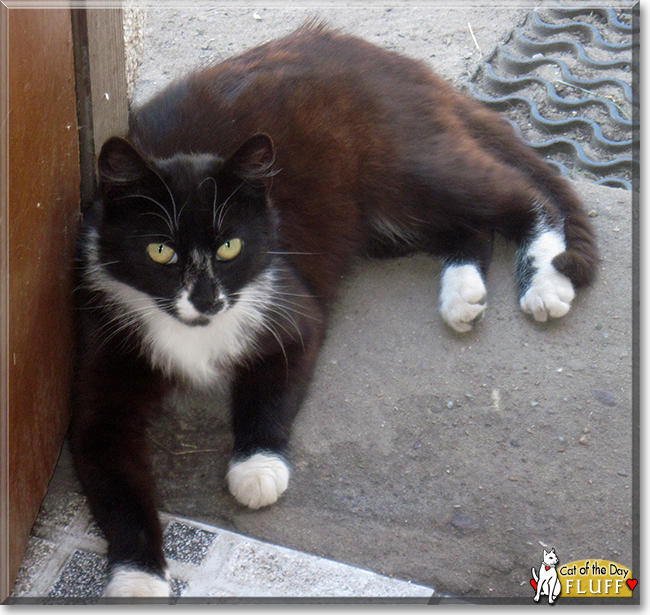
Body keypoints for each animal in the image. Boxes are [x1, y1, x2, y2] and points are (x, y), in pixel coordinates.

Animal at [68, 24, 596, 596]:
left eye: (230, 246)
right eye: (160, 251)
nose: (206, 299)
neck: (192, 329)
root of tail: (380, 56)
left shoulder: (286, 304)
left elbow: (270, 389)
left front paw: (257, 466)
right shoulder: (103, 347)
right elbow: (113, 481)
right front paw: (137, 578)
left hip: (403, 165)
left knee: (515, 196)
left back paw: (546, 279)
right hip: (375, 218)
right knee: (469, 226)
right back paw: (462, 293)